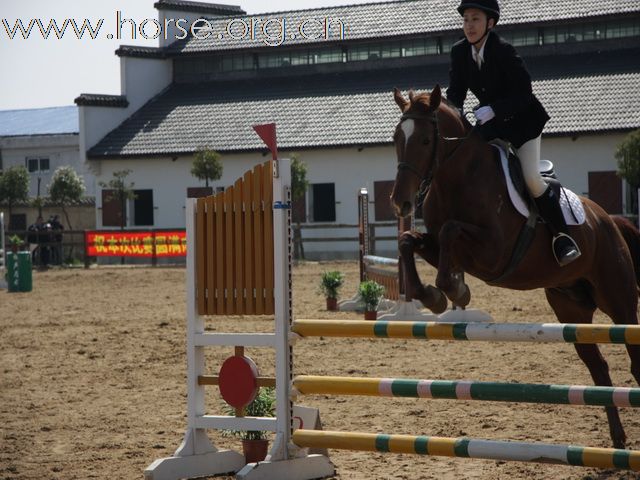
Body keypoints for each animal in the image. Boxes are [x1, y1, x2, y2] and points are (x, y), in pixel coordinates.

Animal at [390, 85, 640, 449]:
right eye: (397, 138)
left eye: (424, 140)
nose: (401, 202)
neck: (457, 177)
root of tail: (609, 220)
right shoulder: (439, 246)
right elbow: (408, 241)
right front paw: (433, 296)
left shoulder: (494, 251)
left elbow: (450, 230)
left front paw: (455, 290)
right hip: (572, 310)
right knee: (599, 368)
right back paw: (618, 440)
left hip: (619, 302)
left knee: (634, 361)